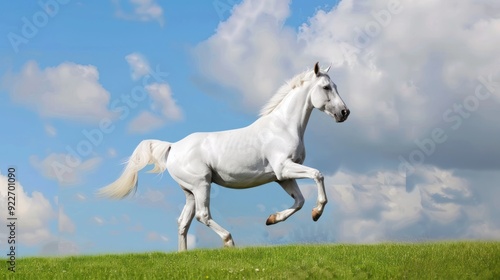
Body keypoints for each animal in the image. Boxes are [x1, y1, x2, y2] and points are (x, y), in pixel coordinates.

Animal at [96, 63, 348, 252]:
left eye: (335, 85)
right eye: (326, 87)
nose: (344, 113)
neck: (283, 127)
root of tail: (173, 147)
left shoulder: (281, 177)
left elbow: (299, 201)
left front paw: (272, 219)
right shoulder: (284, 168)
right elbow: (318, 175)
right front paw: (317, 212)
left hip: (189, 191)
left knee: (183, 221)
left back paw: (183, 255)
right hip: (202, 184)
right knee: (202, 215)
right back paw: (229, 241)